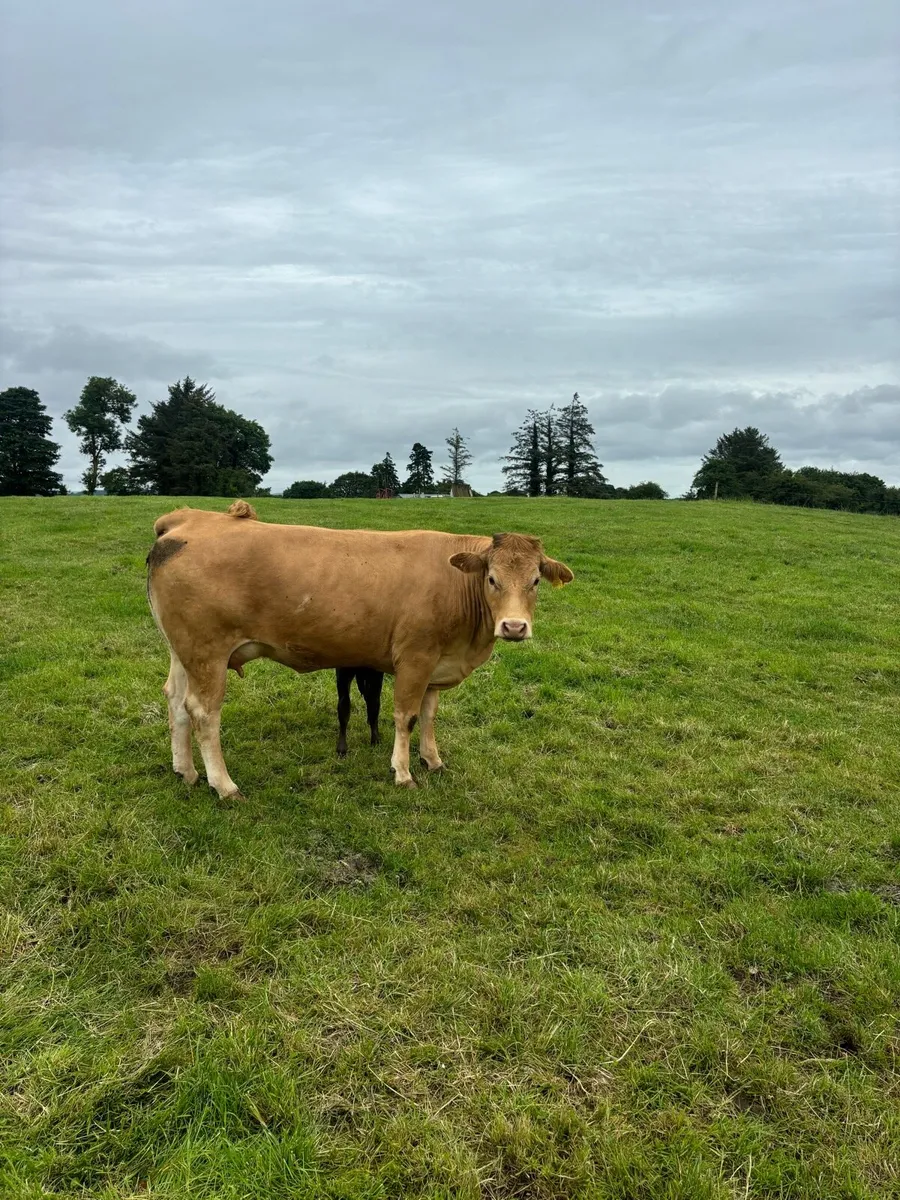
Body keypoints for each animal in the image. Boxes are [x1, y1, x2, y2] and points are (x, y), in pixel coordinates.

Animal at [146, 500, 574, 798]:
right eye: (492, 579)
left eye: (535, 580)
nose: (514, 626)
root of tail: (189, 519)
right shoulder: (415, 659)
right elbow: (406, 716)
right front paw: (403, 772)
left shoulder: (436, 665)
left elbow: (429, 715)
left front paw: (432, 760)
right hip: (208, 652)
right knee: (204, 712)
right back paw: (224, 785)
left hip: (183, 650)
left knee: (176, 701)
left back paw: (186, 771)